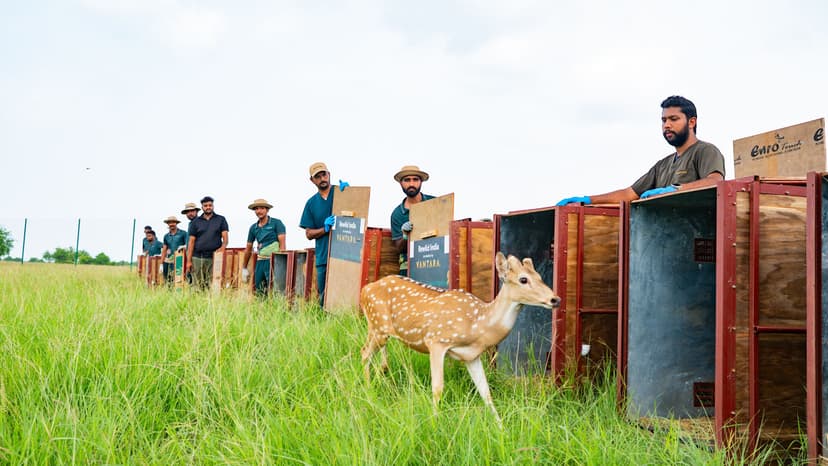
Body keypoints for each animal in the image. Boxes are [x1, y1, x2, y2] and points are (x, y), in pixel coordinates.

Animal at [359, 251, 560, 424]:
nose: (555, 299)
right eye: (523, 279)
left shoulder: (471, 356)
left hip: (378, 329)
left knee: (371, 354)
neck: (478, 325)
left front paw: (500, 428)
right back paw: (368, 392)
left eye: (540, 277)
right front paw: (434, 423)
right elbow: (437, 388)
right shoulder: (436, 341)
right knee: (364, 353)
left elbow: (485, 392)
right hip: (378, 327)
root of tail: (365, 290)